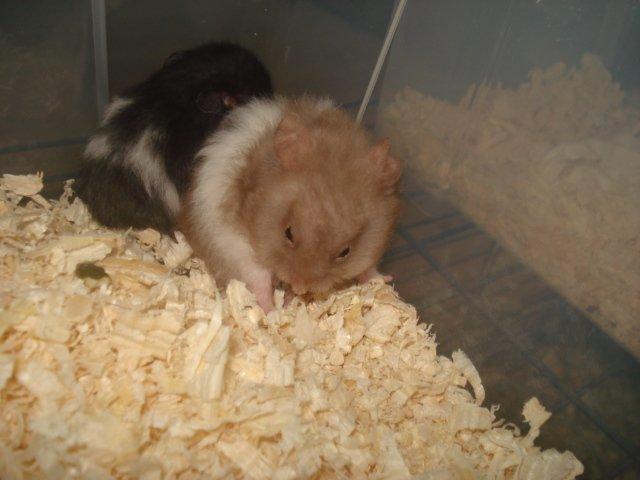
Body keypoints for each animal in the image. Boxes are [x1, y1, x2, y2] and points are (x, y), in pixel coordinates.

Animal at [182, 96, 403, 312]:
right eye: (288, 233)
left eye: (345, 252)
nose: (299, 288)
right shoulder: (233, 240)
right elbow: (258, 279)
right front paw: (274, 309)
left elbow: (368, 268)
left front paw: (383, 280)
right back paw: (274, 312)